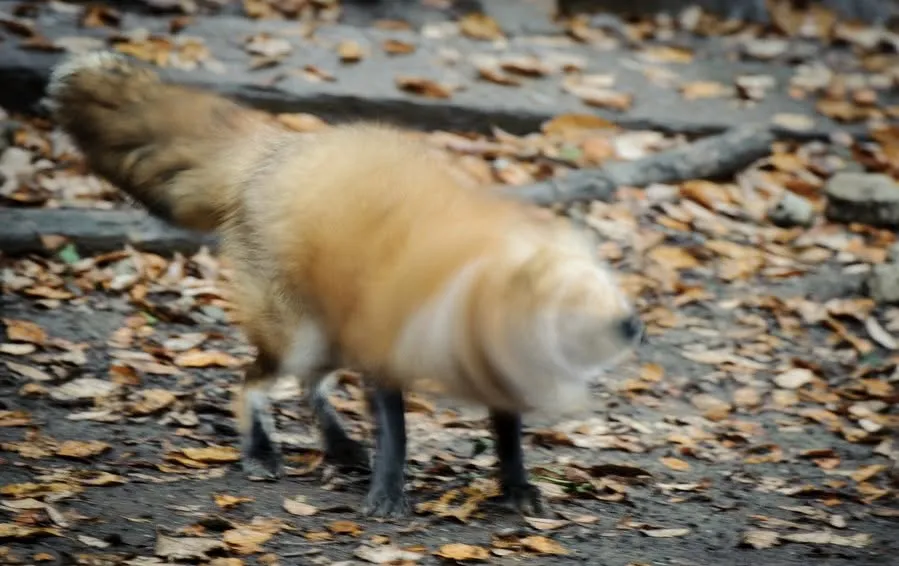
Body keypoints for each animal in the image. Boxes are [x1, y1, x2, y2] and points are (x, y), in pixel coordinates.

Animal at [45, 51, 643, 518]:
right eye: (572, 301)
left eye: (612, 290)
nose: (633, 326)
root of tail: (280, 146)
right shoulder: (382, 354)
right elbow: (396, 436)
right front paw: (389, 494)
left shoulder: (493, 371)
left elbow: (508, 438)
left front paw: (516, 487)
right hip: (301, 336)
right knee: (252, 384)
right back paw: (262, 452)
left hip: (329, 338)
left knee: (311, 388)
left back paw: (337, 446)